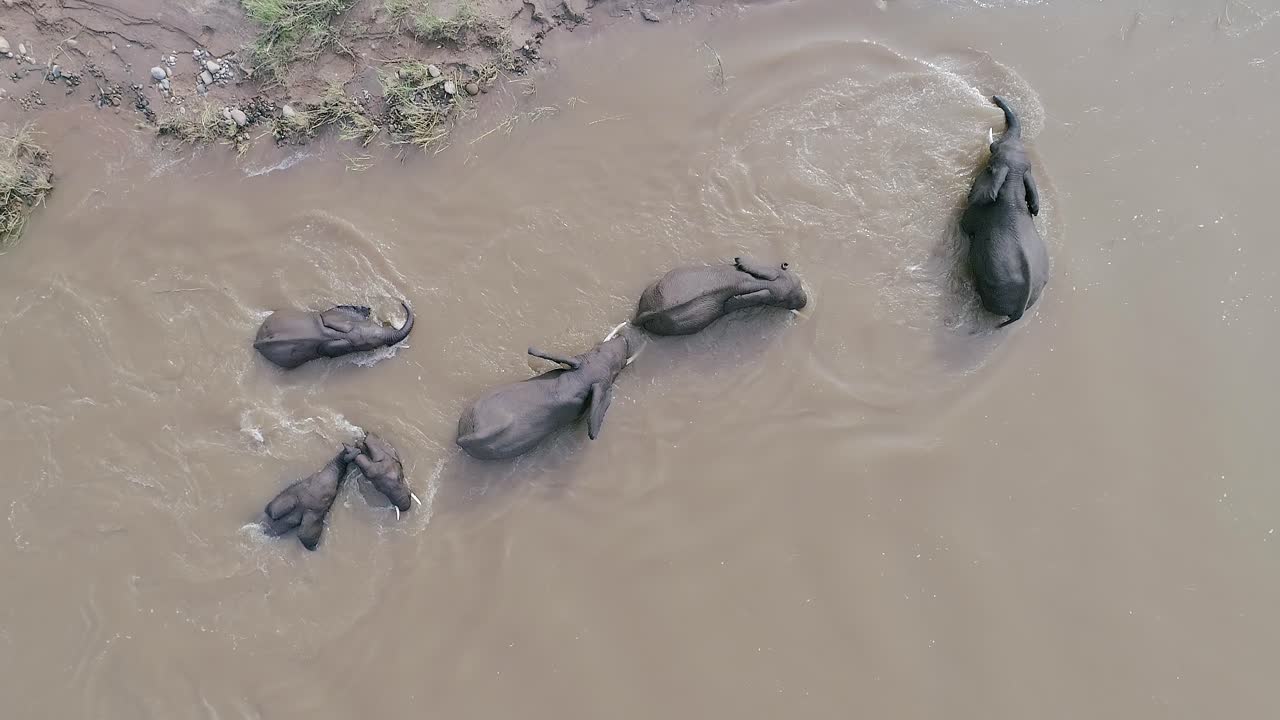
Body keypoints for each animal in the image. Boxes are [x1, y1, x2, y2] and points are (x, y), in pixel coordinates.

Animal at [632, 256, 807, 336]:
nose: (804, 300)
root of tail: (643, 315)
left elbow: (760, 295)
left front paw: (732, 301)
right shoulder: (776, 275)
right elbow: (766, 278)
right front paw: (739, 261)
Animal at [960, 96, 1050, 328]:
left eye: (994, 151)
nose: (994, 97)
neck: (1013, 184)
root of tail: (1020, 309)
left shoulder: (976, 213)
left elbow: (964, 225)